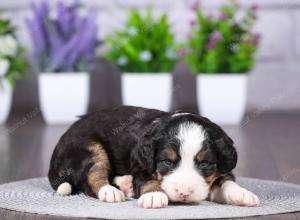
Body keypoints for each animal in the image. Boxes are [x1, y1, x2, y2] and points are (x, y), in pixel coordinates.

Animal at [48, 105, 258, 209]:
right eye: (167, 162)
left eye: (205, 163)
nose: (184, 193)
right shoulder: (141, 163)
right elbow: (148, 179)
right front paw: (154, 195)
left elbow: (225, 180)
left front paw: (242, 194)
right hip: (90, 147)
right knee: (91, 177)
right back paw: (111, 192)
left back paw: (125, 184)